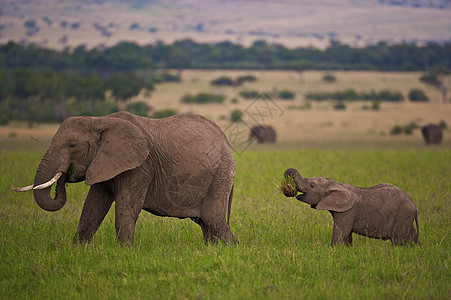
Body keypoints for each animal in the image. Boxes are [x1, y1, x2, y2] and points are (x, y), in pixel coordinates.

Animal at [12, 111, 238, 245]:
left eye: (72, 145)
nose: (66, 173)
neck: (100, 120)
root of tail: (226, 140)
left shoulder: (140, 167)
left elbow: (126, 207)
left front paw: (125, 251)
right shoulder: (104, 163)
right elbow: (92, 207)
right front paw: (77, 249)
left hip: (220, 175)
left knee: (214, 220)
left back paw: (229, 250)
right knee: (206, 223)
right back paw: (213, 250)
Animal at [282, 169, 420, 246]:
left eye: (312, 185)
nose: (288, 184)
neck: (335, 184)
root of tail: (414, 205)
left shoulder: (348, 211)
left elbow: (340, 233)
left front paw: (334, 249)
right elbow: (346, 235)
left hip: (402, 215)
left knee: (398, 240)